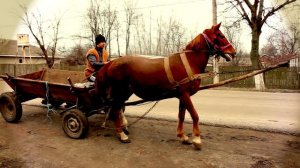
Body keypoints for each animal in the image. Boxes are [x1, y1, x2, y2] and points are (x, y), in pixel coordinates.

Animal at [96, 22, 237, 150]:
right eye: (221, 35)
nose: (234, 52)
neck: (189, 62)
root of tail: (111, 62)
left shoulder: (182, 95)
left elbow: (182, 115)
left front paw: (182, 136)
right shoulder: (185, 94)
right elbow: (195, 115)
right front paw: (197, 139)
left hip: (126, 91)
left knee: (119, 107)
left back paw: (123, 127)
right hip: (119, 90)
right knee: (115, 109)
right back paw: (121, 134)